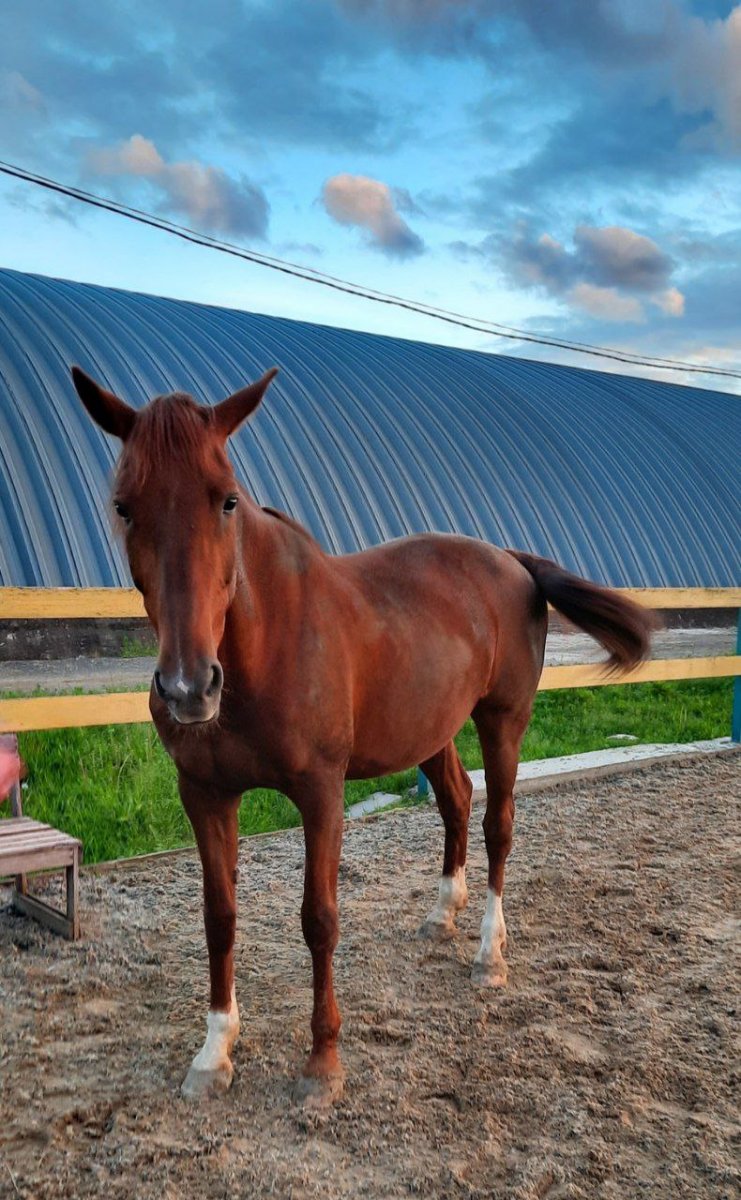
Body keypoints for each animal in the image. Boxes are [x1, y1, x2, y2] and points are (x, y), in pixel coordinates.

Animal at [69, 362, 647, 1104]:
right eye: (124, 506)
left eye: (226, 501)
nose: (188, 689)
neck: (263, 643)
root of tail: (511, 560)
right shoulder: (203, 793)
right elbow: (219, 917)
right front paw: (215, 1050)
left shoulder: (321, 792)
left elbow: (319, 918)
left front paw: (323, 1060)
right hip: (430, 728)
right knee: (457, 799)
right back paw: (443, 914)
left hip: (503, 721)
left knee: (499, 825)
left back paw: (489, 953)